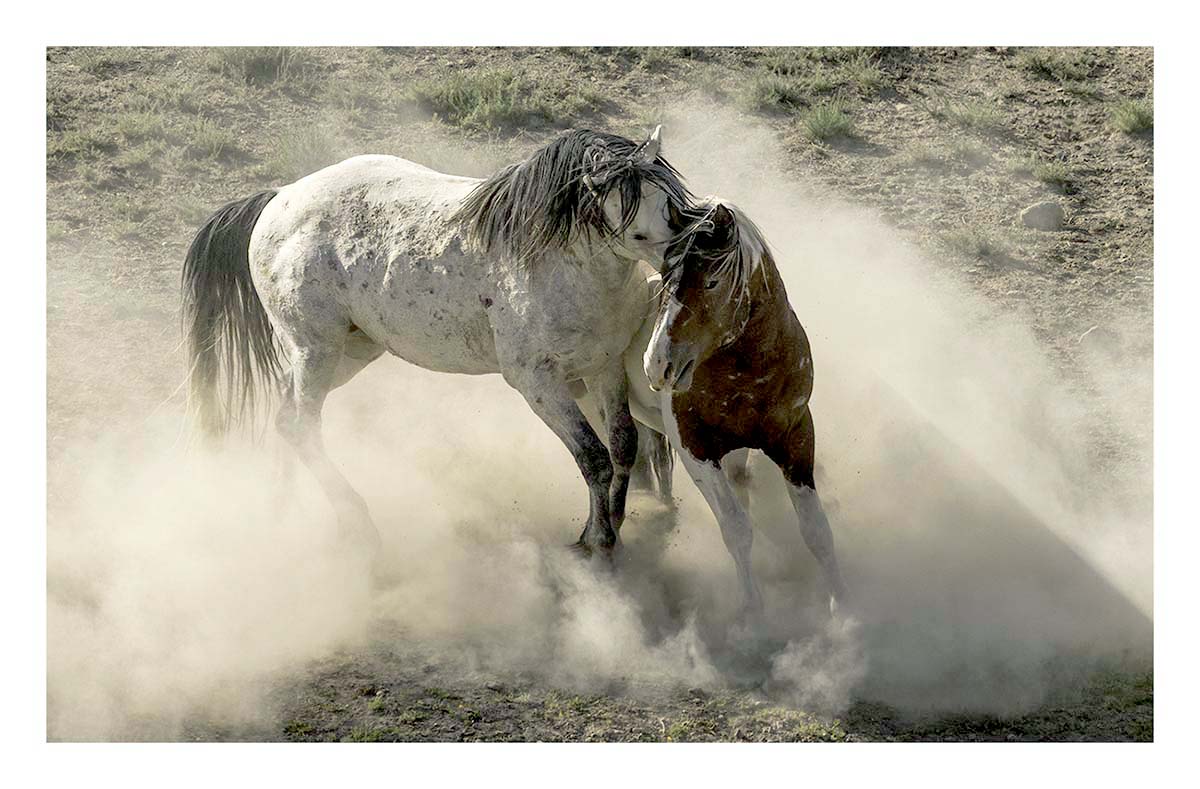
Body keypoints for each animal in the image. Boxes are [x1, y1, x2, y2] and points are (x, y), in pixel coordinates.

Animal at [180, 127, 692, 561]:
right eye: (632, 215)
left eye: (669, 200)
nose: (683, 253)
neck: (558, 264)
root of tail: (277, 199)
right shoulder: (538, 384)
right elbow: (593, 457)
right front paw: (597, 539)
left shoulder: (604, 368)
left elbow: (622, 446)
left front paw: (614, 524)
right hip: (316, 350)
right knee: (299, 424)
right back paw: (358, 525)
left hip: (350, 351)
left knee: (285, 414)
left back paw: (282, 511)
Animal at [617, 199, 850, 617]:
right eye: (666, 275)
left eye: (711, 282)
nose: (656, 364)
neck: (749, 371)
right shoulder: (695, 449)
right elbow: (737, 529)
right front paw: (754, 614)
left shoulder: (796, 438)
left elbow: (816, 530)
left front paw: (842, 609)